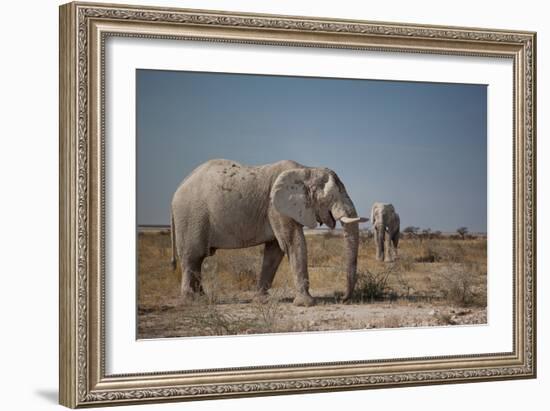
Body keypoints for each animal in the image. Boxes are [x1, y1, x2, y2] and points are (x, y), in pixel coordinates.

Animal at [170, 159, 368, 308]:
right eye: (332, 197)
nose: (342, 299)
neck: (306, 170)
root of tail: (178, 188)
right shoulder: (276, 207)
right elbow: (292, 243)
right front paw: (306, 303)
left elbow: (275, 251)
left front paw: (261, 301)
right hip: (190, 216)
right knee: (192, 257)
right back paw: (191, 302)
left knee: (197, 260)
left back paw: (202, 298)